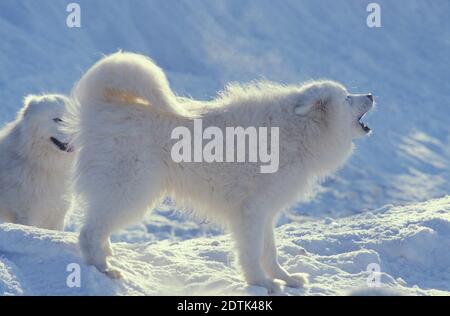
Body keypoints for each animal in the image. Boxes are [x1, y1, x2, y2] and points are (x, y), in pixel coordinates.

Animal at [67, 51, 374, 292]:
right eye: (347, 98)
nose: (371, 94)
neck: (298, 131)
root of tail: (102, 106)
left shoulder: (266, 212)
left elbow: (270, 252)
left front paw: (285, 279)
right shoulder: (251, 211)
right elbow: (252, 252)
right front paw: (262, 283)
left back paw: (108, 255)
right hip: (130, 189)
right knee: (89, 232)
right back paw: (104, 269)